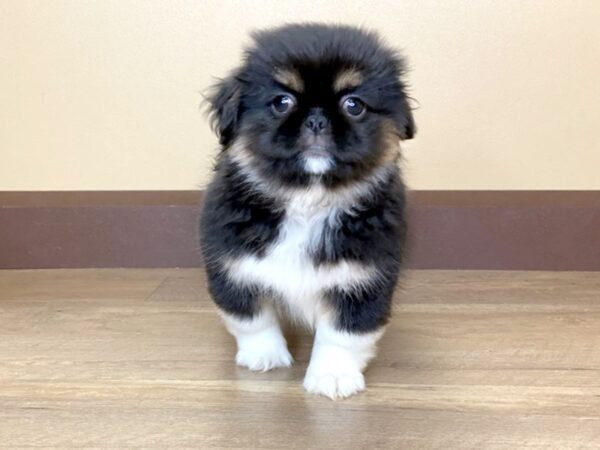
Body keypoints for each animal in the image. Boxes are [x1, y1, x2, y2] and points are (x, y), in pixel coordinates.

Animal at [199, 22, 414, 400]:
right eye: (281, 102)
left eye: (354, 105)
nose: (316, 120)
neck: (307, 201)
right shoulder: (233, 267)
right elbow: (253, 319)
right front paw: (265, 356)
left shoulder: (362, 279)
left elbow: (343, 334)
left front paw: (333, 376)